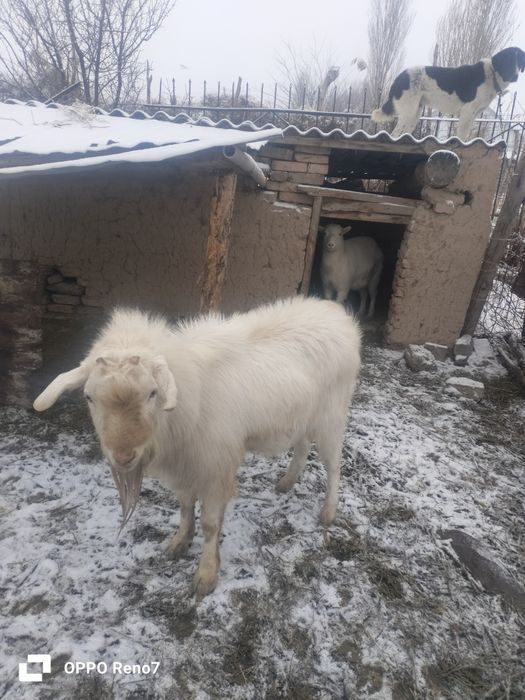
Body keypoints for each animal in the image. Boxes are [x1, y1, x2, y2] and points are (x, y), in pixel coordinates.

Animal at [33, 296, 361, 598]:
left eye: (152, 393)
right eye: (89, 397)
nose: (124, 456)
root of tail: (337, 313)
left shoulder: (215, 468)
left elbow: (211, 525)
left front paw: (206, 575)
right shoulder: (185, 465)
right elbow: (185, 506)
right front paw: (180, 541)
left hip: (331, 415)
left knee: (334, 465)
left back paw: (328, 512)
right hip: (303, 416)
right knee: (303, 445)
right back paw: (288, 481)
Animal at [371, 47, 525, 141]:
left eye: (519, 62)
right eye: (508, 61)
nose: (515, 76)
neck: (492, 74)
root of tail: (401, 76)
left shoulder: (473, 115)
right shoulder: (467, 112)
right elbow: (462, 137)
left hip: (415, 114)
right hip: (408, 112)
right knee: (394, 135)